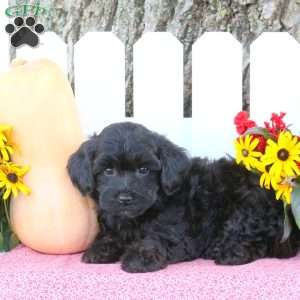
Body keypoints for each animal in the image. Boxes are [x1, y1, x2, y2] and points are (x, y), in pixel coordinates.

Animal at [67, 122, 197, 272]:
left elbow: (159, 235)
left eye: (144, 170)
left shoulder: (179, 234)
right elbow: (113, 235)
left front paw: (140, 257)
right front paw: (101, 248)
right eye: (108, 171)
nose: (125, 198)